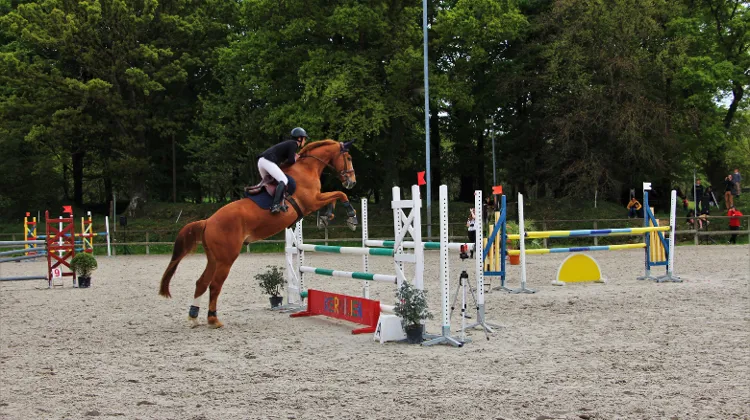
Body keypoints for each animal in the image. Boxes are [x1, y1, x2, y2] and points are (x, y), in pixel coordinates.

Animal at [159, 139, 358, 328]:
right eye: (348, 158)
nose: (352, 182)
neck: (306, 168)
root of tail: (208, 221)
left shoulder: (316, 200)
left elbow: (335, 197)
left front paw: (326, 217)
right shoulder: (312, 201)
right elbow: (339, 194)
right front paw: (352, 217)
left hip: (214, 258)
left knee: (201, 282)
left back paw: (194, 317)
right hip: (226, 258)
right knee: (214, 285)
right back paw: (213, 319)